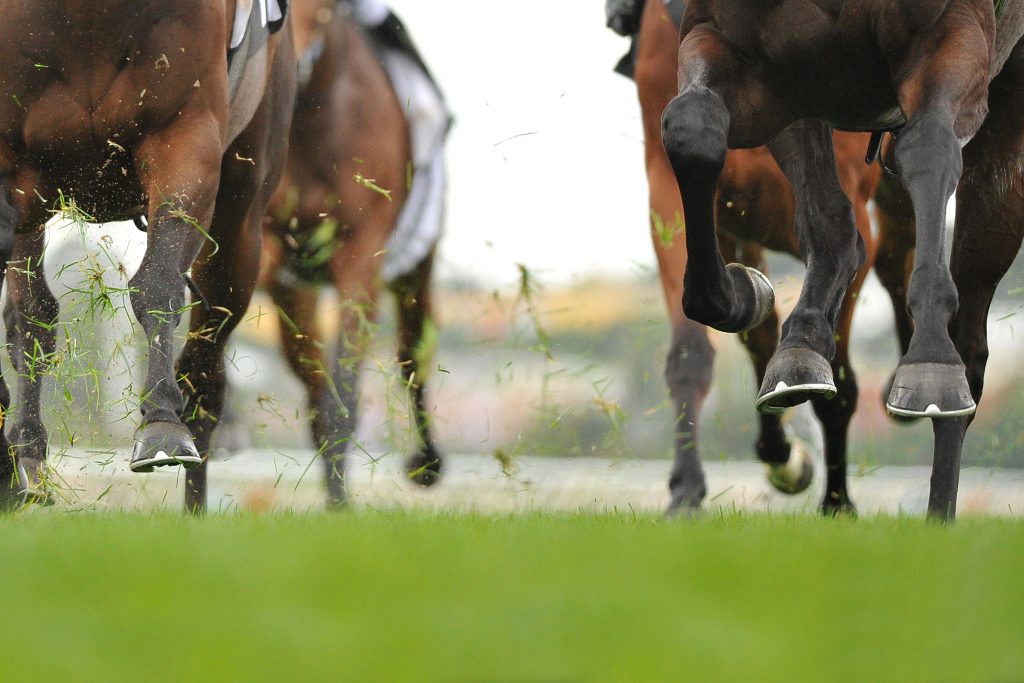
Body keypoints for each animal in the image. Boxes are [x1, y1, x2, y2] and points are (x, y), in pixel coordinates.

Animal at [0, 1, 296, 510]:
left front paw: (160, 424)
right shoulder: (15, 168)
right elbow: (31, 315)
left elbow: (157, 283)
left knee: (206, 366)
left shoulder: (184, 136)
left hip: (241, 219)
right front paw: (21, 457)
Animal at [195, 0, 447, 509]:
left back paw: (426, 462)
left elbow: (348, 379)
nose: (291, 63)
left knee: (411, 353)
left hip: (417, 266)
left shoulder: (362, 256)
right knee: (312, 378)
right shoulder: (269, 244)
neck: (314, 118)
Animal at [660, 0, 1024, 520]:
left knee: (971, 346)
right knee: (833, 227)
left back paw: (939, 511)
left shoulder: (949, 32)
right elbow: (692, 127)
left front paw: (930, 361)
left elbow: (928, 145)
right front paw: (747, 296)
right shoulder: (748, 55)